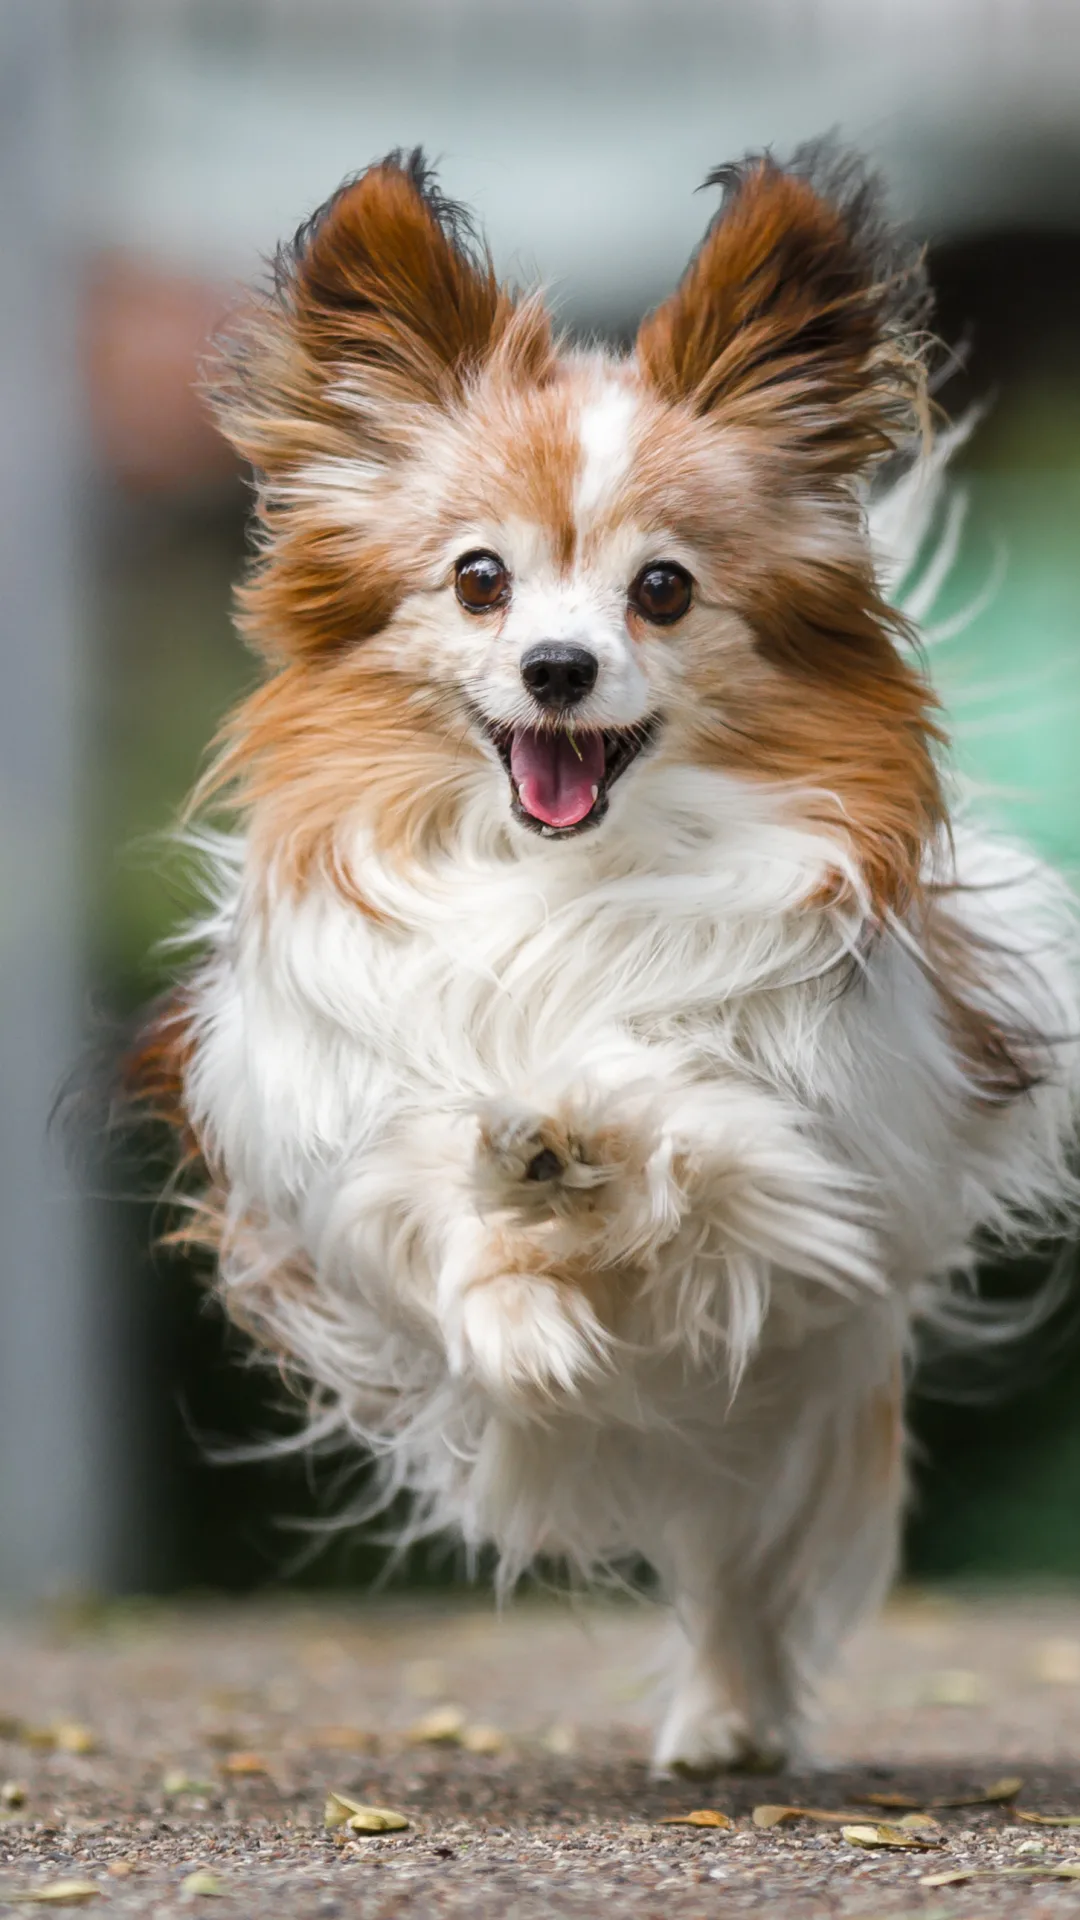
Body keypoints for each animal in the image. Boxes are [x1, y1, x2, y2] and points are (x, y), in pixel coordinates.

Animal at [134, 142, 1076, 1774]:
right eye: (479, 582)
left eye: (664, 590)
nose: (558, 670)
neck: (558, 879)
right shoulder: (336, 1158)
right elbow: (429, 1191)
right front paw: (518, 1285)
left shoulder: (804, 1193)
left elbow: (688, 1135)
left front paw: (588, 1138)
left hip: (782, 1420)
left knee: (736, 1570)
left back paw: (727, 1715)